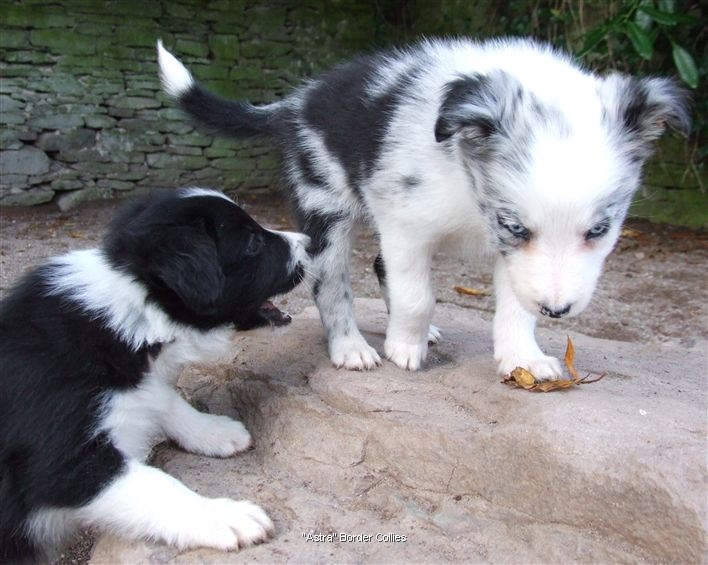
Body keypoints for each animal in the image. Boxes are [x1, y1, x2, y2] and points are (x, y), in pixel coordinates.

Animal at [0, 188, 310, 563]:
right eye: (253, 242)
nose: (309, 242)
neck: (133, 313)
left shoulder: (141, 381)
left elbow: (163, 397)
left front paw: (213, 431)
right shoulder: (64, 459)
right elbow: (153, 485)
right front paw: (223, 516)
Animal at [157, 38, 689, 377]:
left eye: (599, 230)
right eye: (517, 227)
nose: (558, 310)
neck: (465, 180)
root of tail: (292, 105)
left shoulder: (503, 252)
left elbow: (516, 305)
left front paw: (522, 359)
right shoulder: (409, 225)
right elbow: (417, 296)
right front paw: (403, 348)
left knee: (376, 266)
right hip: (324, 204)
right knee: (332, 283)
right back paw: (351, 348)